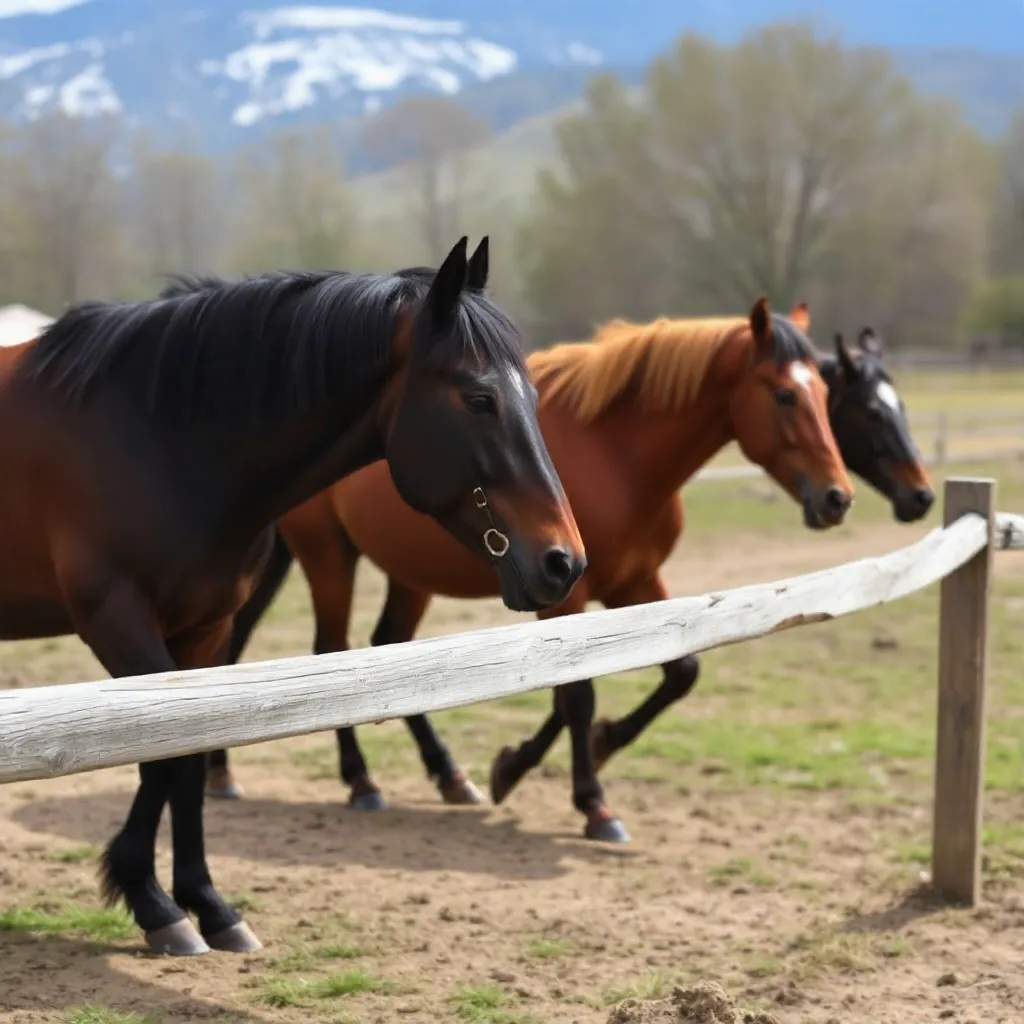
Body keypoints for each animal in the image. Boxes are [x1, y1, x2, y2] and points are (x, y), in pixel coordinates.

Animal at [0, 235, 587, 956]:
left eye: (531, 392)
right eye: (479, 398)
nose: (563, 561)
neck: (155, 437)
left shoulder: (205, 631)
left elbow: (187, 758)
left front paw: (208, 905)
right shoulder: (118, 624)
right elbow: (159, 761)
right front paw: (152, 902)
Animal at [202, 297, 857, 840]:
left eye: (827, 397)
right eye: (784, 395)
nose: (836, 498)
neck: (616, 454)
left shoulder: (635, 584)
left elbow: (679, 673)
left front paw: (534, 761)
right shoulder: (565, 593)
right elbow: (576, 695)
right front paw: (592, 802)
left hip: (406, 576)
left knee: (379, 647)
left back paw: (441, 776)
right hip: (328, 555)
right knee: (332, 651)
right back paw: (361, 782)